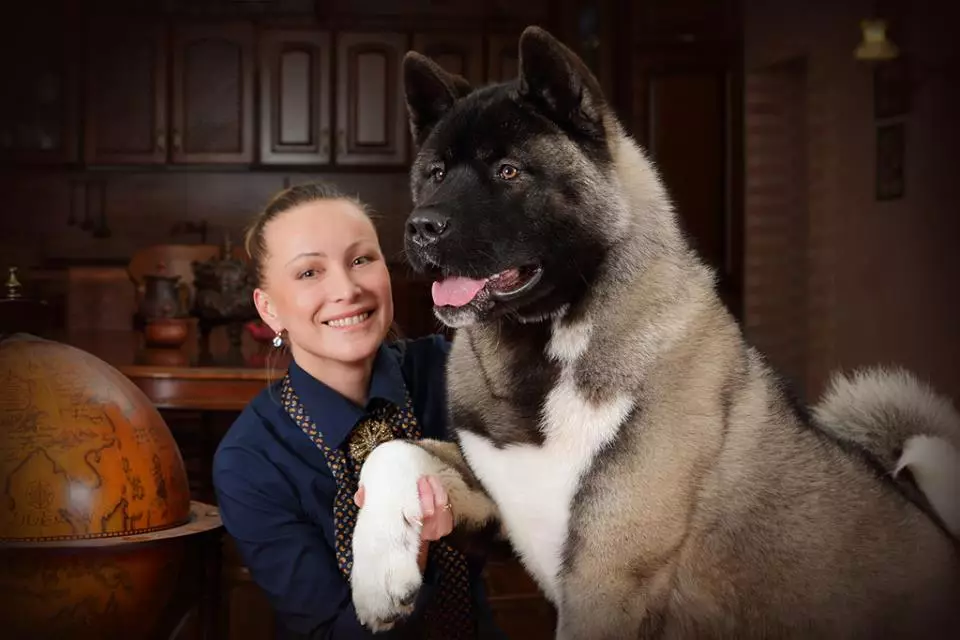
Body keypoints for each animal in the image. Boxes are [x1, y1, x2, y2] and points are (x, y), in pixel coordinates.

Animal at [350, 26, 960, 640]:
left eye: (508, 171)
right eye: (435, 173)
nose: (421, 227)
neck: (546, 352)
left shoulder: (605, 578)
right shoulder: (499, 500)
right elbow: (392, 450)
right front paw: (379, 576)